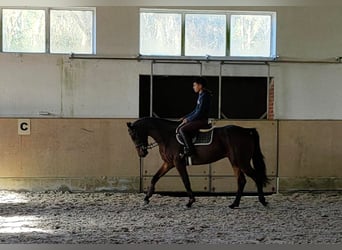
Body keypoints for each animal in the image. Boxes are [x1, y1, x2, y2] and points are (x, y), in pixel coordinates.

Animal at [127, 117, 268, 209]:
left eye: (134, 135)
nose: (142, 153)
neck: (167, 136)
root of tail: (246, 131)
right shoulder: (168, 163)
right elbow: (155, 178)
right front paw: (146, 198)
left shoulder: (178, 163)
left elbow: (186, 181)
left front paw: (190, 201)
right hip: (235, 162)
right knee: (241, 180)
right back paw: (234, 204)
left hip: (242, 161)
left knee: (256, 177)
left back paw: (263, 201)